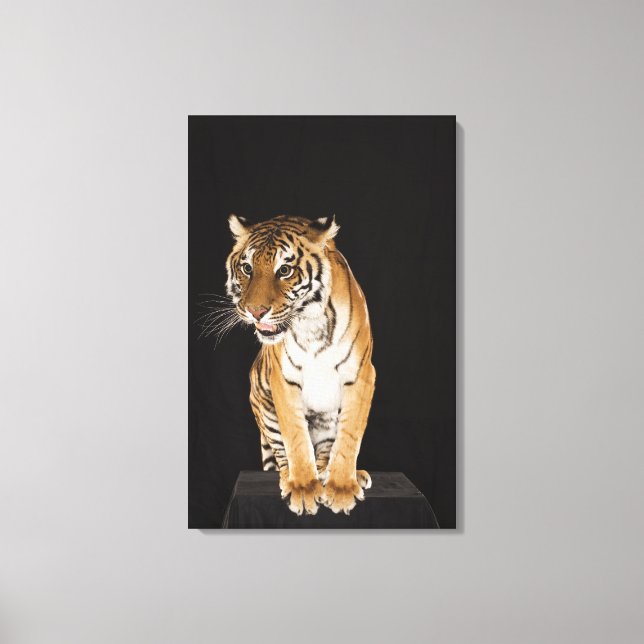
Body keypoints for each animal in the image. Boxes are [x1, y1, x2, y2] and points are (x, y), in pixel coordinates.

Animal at [225, 213, 375, 515]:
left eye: (284, 270)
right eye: (247, 268)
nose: (255, 311)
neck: (310, 323)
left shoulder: (362, 375)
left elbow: (350, 434)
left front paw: (341, 489)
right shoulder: (283, 379)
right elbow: (295, 437)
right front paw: (304, 489)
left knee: (327, 451)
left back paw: (339, 475)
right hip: (264, 408)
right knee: (282, 454)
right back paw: (290, 478)